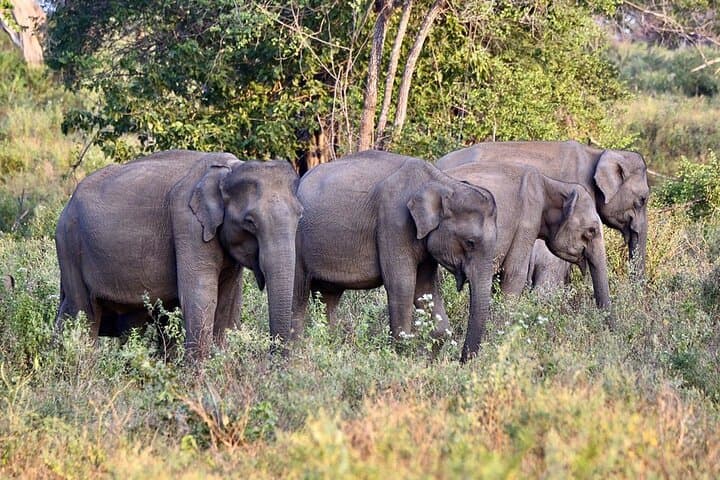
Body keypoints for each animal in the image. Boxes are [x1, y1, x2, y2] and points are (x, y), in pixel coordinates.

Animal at [55, 149, 302, 357]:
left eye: (300, 215)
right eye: (250, 222)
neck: (228, 169)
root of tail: (66, 206)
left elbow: (228, 302)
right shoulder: (188, 224)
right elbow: (200, 296)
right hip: (69, 244)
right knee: (84, 313)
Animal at [292, 150, 497, 362]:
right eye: (470, 242)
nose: (461, 361)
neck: (442, 182)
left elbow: (425, 289)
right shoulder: (394, 222)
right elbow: (402, 285)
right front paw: (401, 357)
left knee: (327, 298)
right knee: (298, 295)